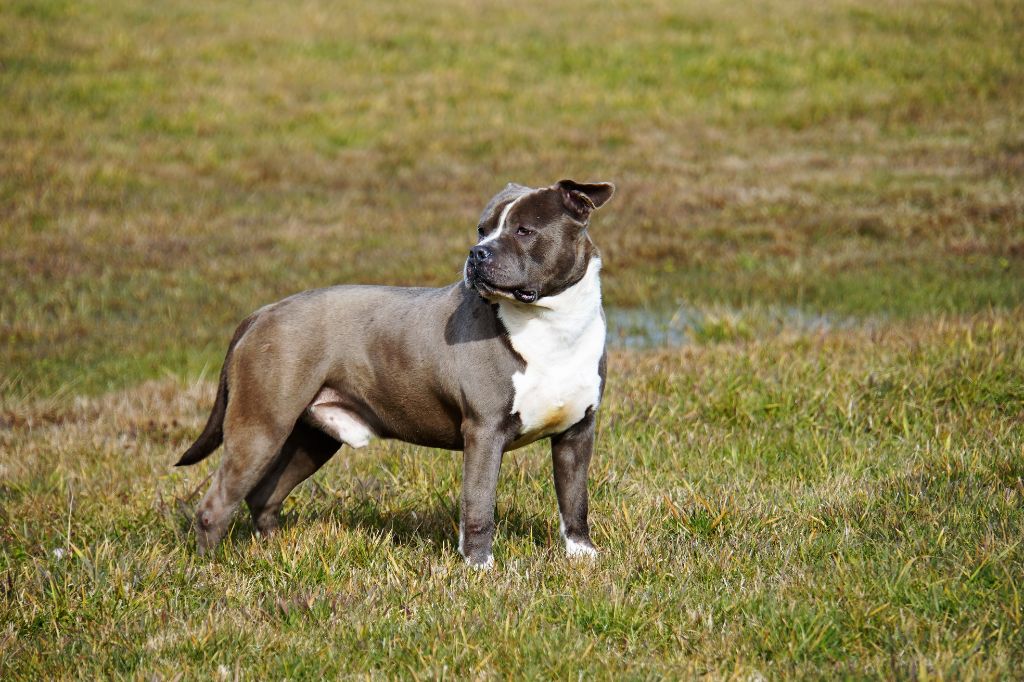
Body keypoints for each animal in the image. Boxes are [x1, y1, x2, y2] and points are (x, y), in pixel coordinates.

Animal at [176, 179, 615, 568]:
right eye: (482, 229)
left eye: (524, 230)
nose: (477, 254)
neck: (549, 324)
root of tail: (263, 312)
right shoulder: (485, 433)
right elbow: (478, 507)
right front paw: (480, 568)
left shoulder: (577, 433)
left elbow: (575, 500)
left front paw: (583, 557)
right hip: (261, 428)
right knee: (216, 505)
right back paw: (211, 567)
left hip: (310, 438)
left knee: (264, 496)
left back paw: (273, 552)